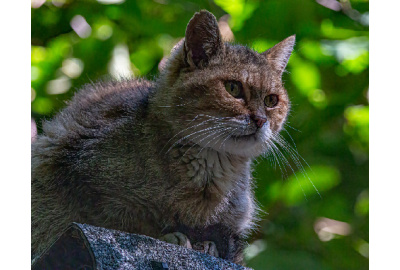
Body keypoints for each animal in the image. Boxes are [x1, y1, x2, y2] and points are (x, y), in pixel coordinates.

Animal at [30, 9, 294, 264]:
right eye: (233, 88)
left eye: (271, 100)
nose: (260, 120)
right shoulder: (80, 184)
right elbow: (129, 223)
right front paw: (173, 237)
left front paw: (206, 245)